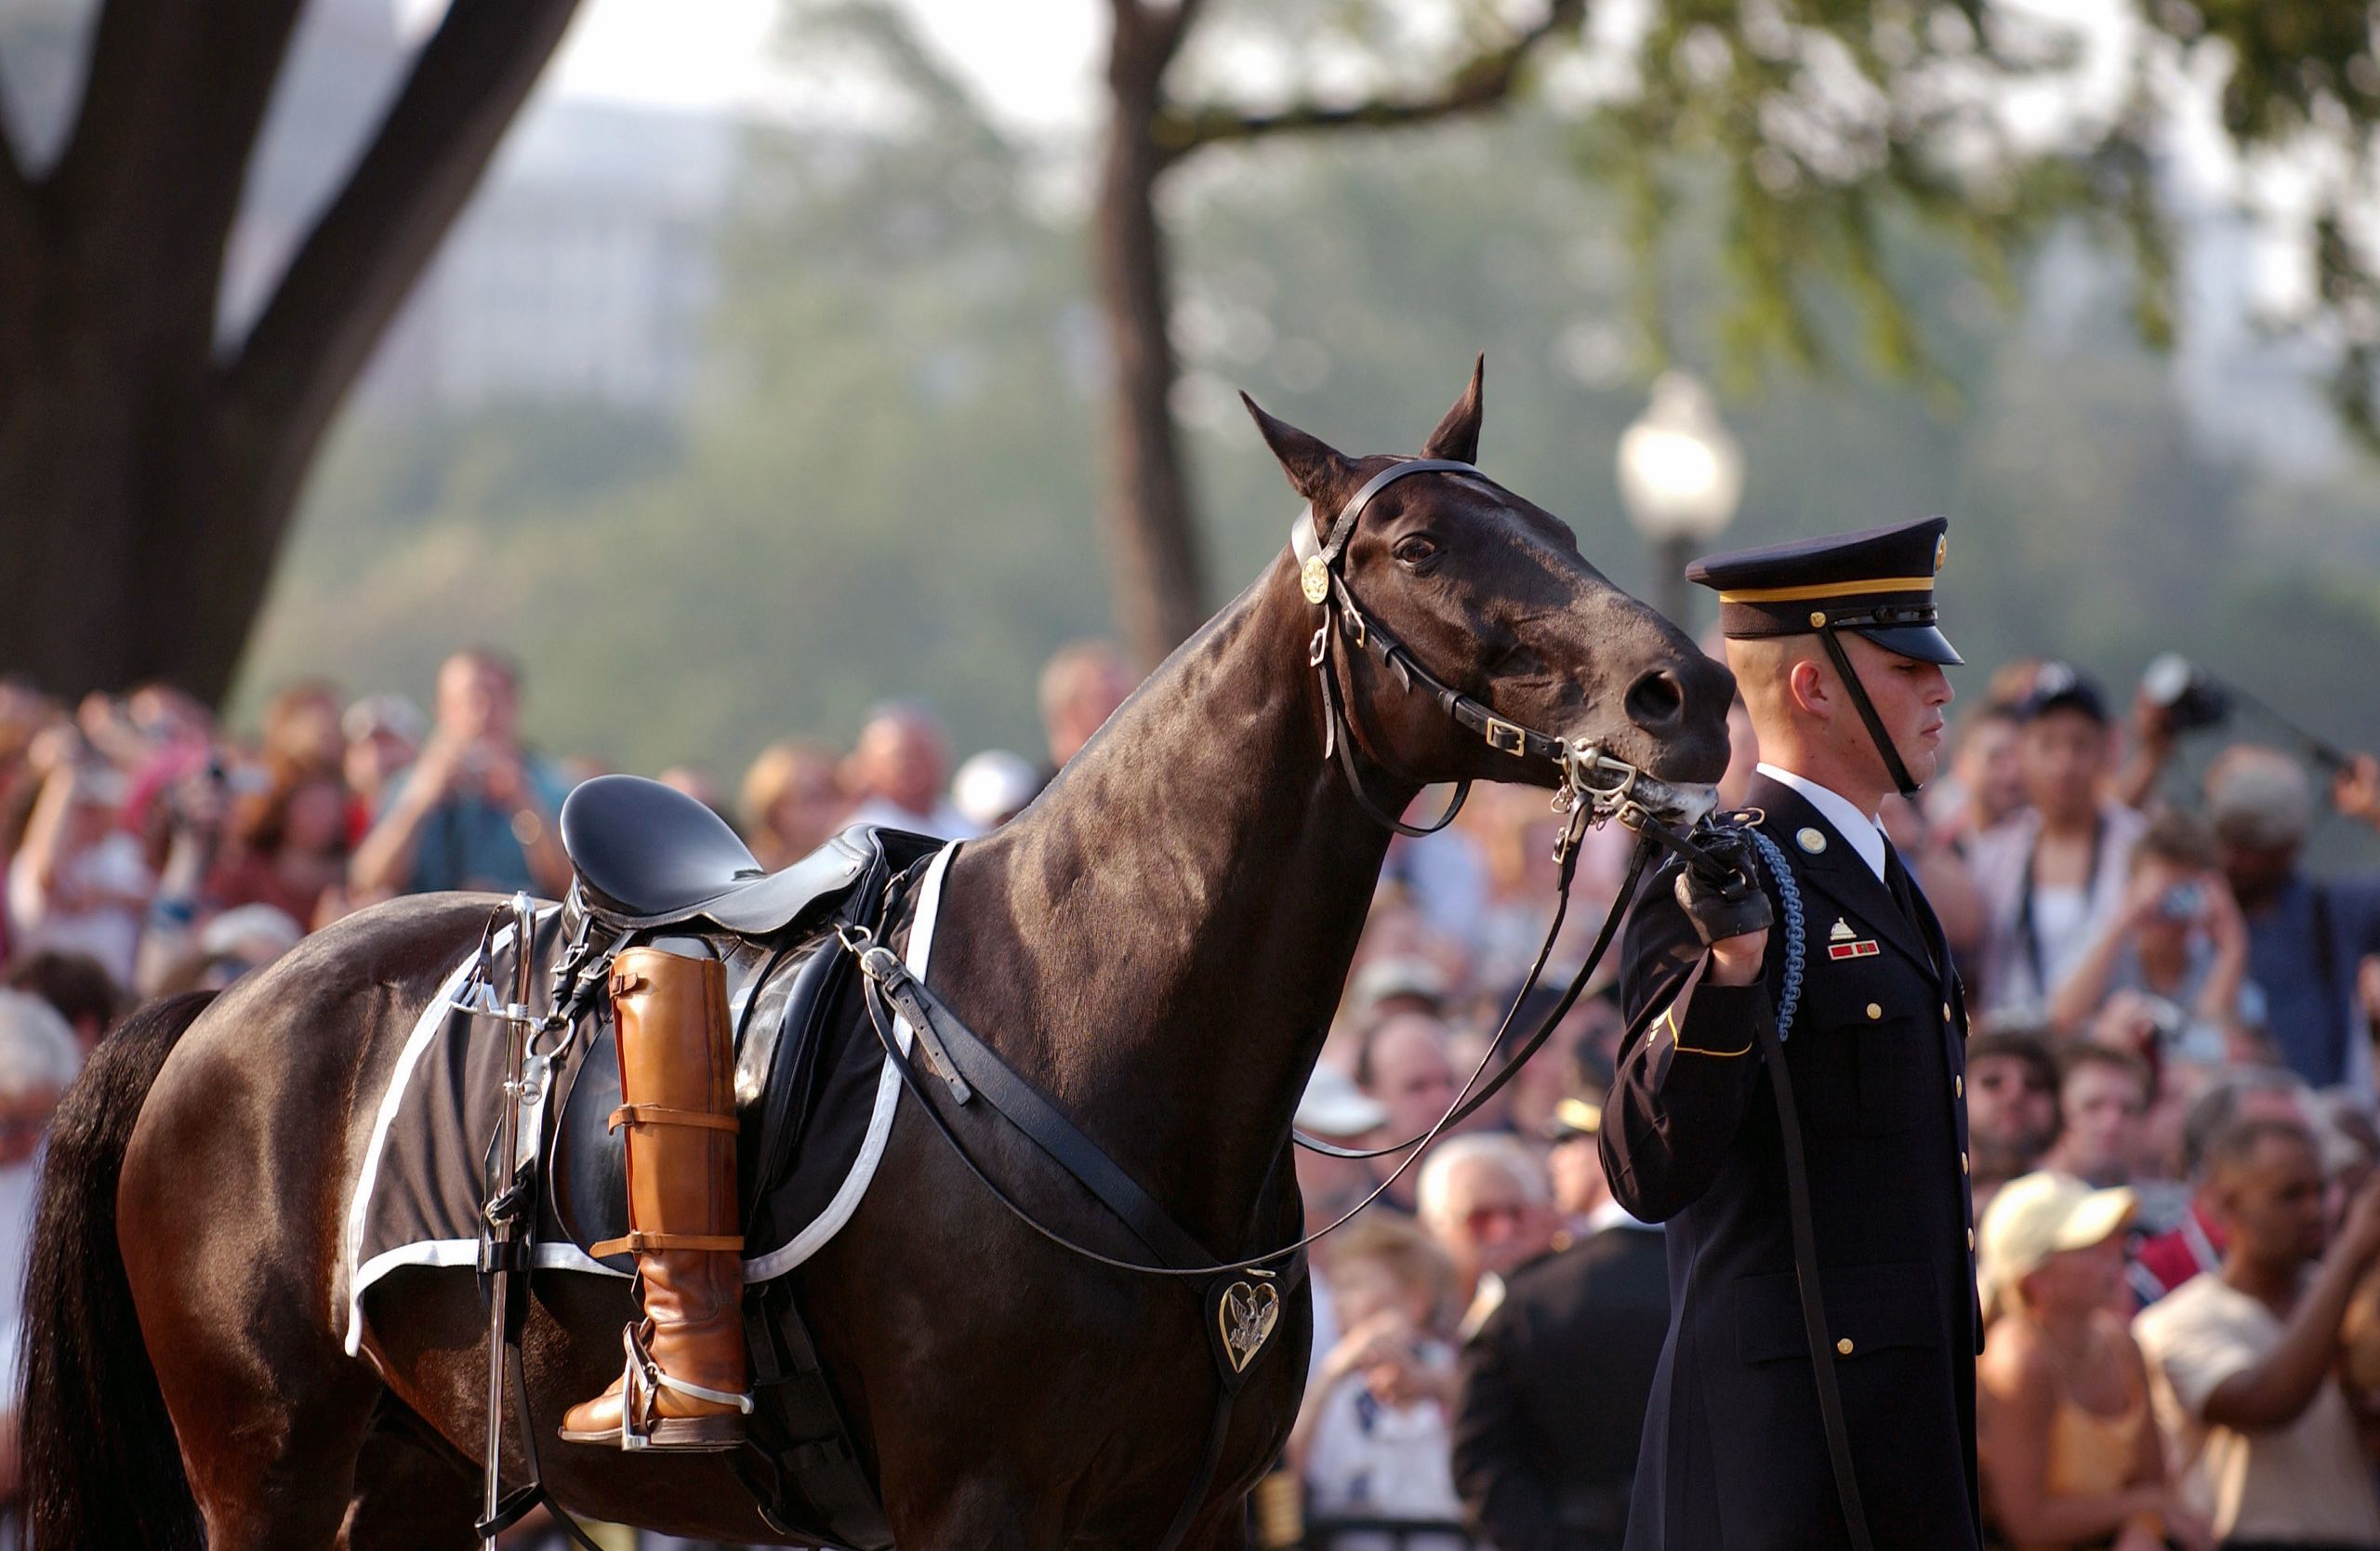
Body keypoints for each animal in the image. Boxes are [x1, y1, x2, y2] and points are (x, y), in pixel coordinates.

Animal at [23, 360, 1733, 1550]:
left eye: (1564, 529)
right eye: (1422, 543)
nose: (1689, 691)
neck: (1090, 1039)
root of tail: (216, 1017)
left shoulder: (1184, 1513)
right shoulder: (976, 1504)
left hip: (416, 1470)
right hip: (265, 1466)